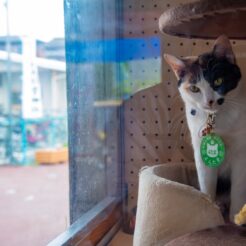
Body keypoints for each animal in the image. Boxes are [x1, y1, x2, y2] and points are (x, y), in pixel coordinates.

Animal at [164, 35, 245, 222]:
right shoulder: (200, 150)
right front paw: (209, 212)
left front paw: (235, 220)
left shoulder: (241, 152)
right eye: (194, 88)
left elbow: (238, 190)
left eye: (218, 81)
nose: (209, 101)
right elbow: (207, 186)